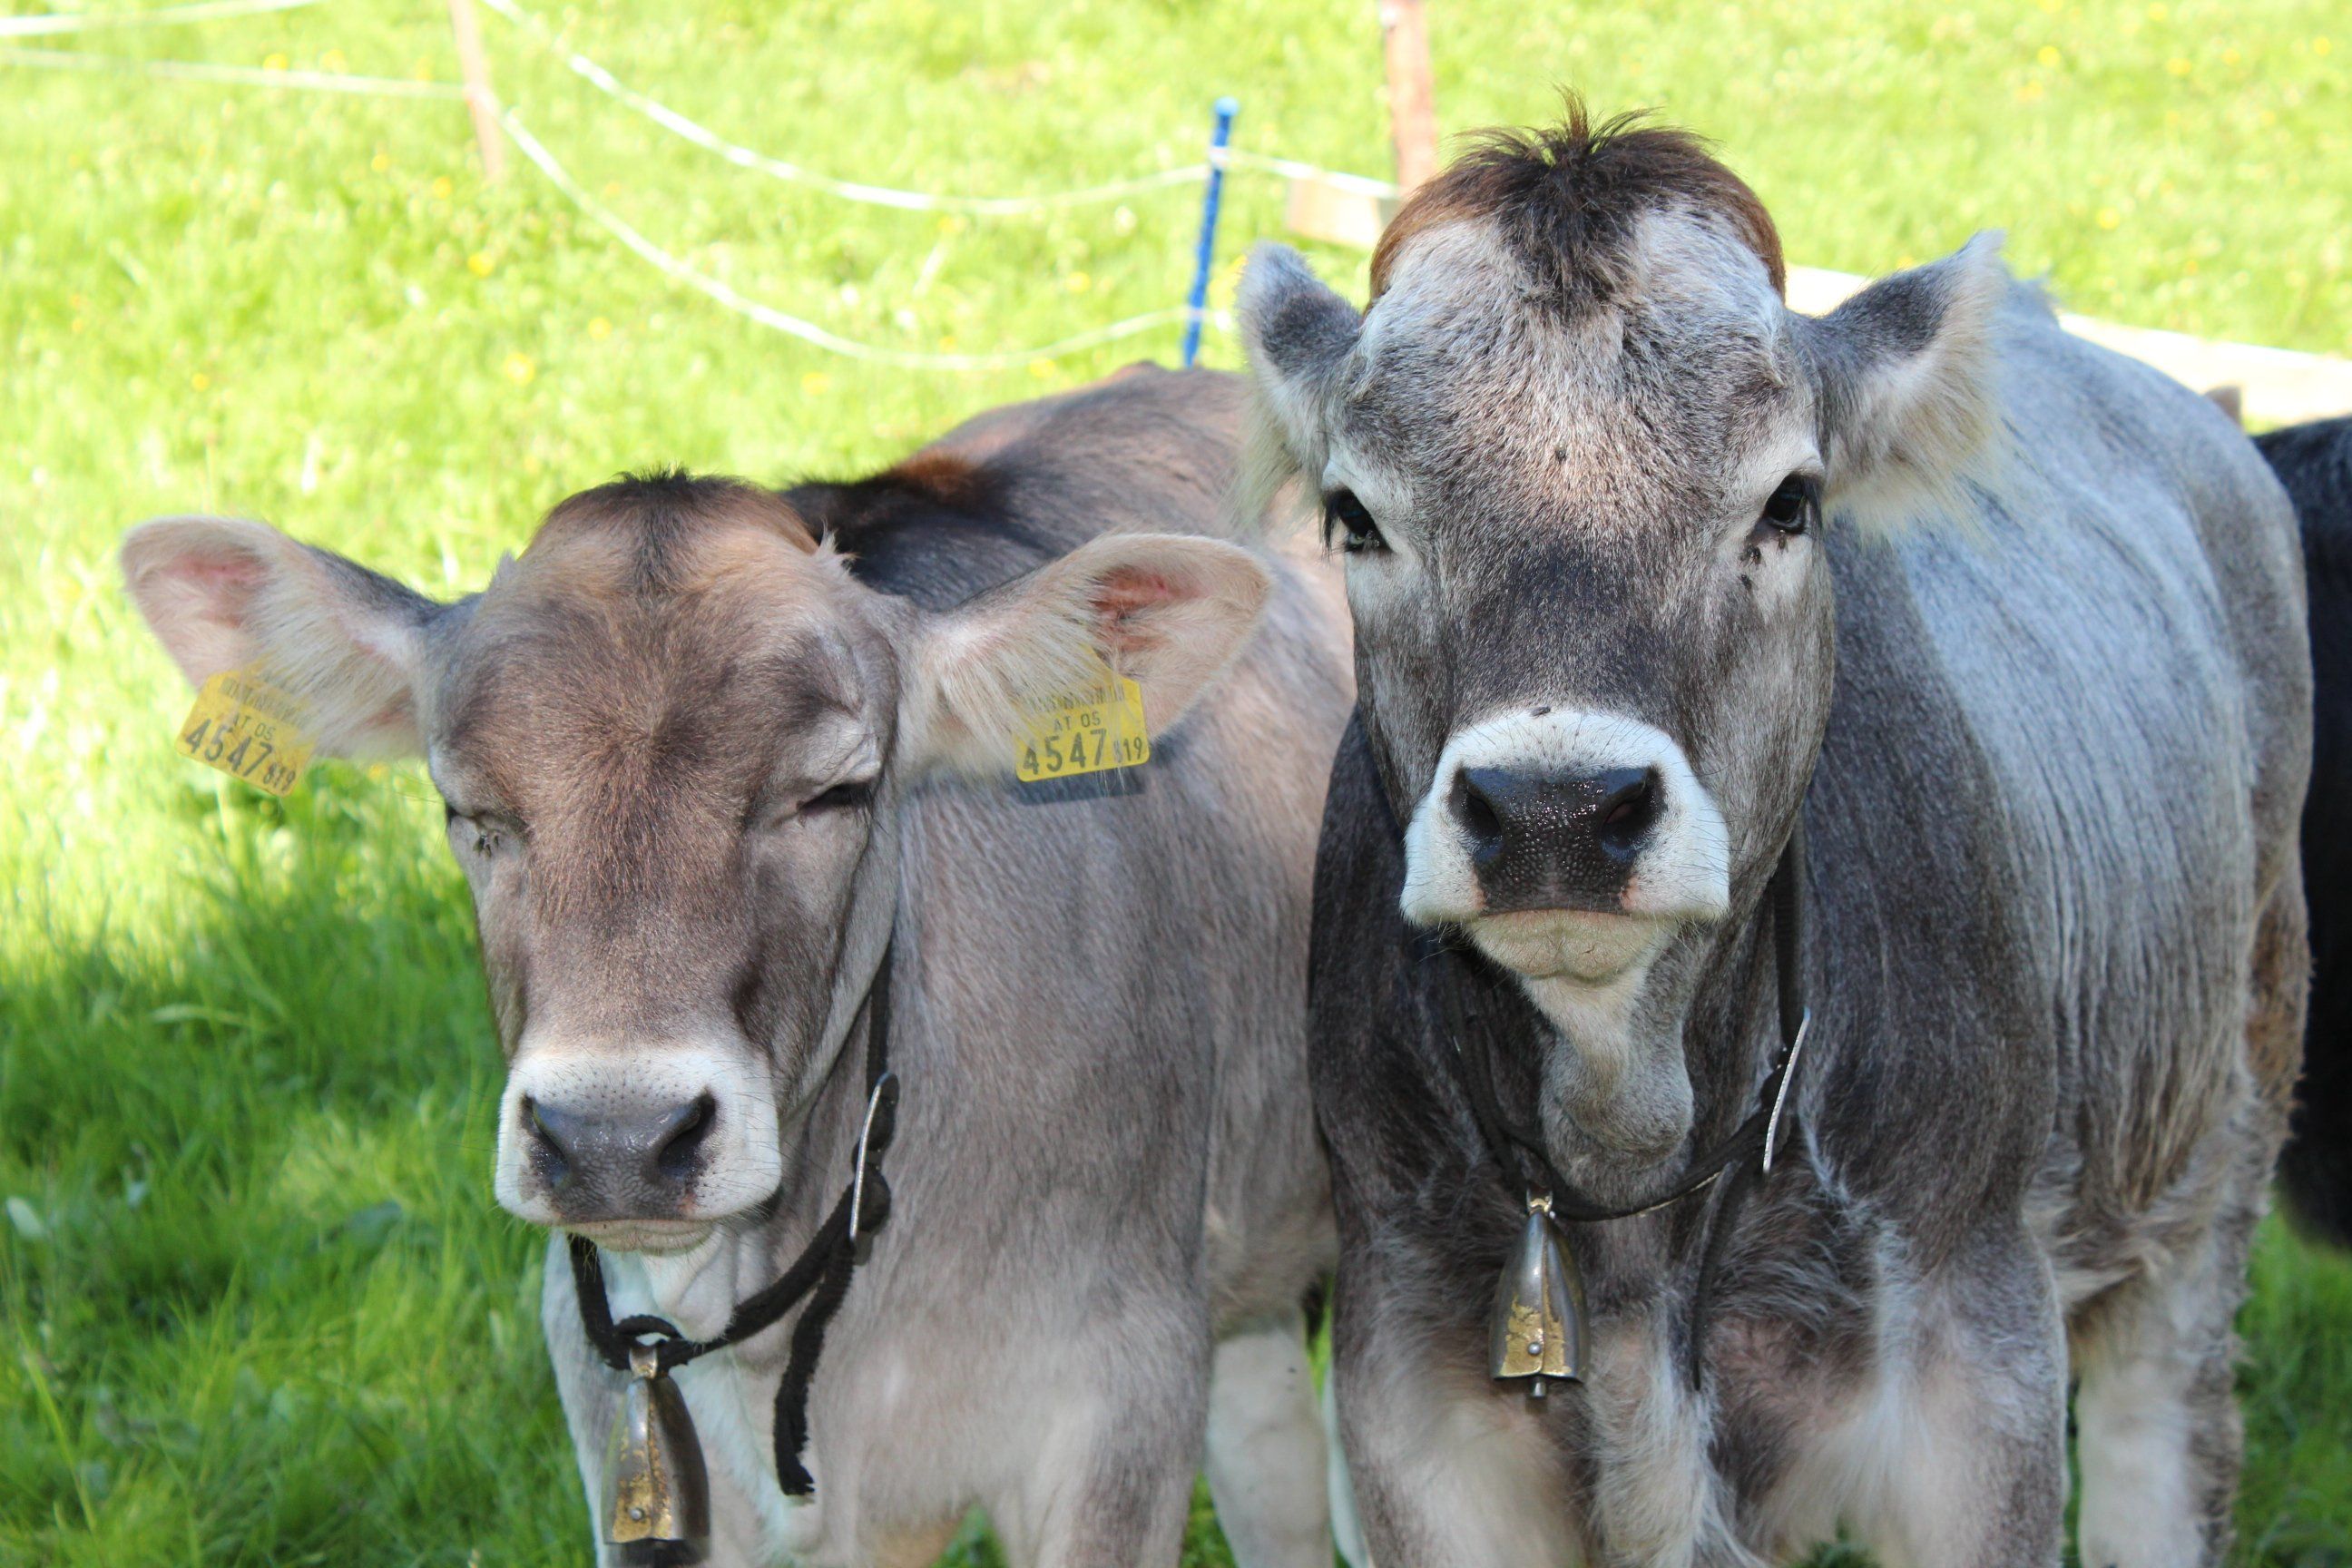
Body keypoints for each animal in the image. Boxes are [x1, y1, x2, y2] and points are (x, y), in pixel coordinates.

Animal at [1235, 108, 2310, 1567]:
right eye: (1355, 516)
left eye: (1789, 504)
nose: (1557, 810)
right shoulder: (1410, 1392)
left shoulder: (1981, 1371)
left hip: (2210, 1157)